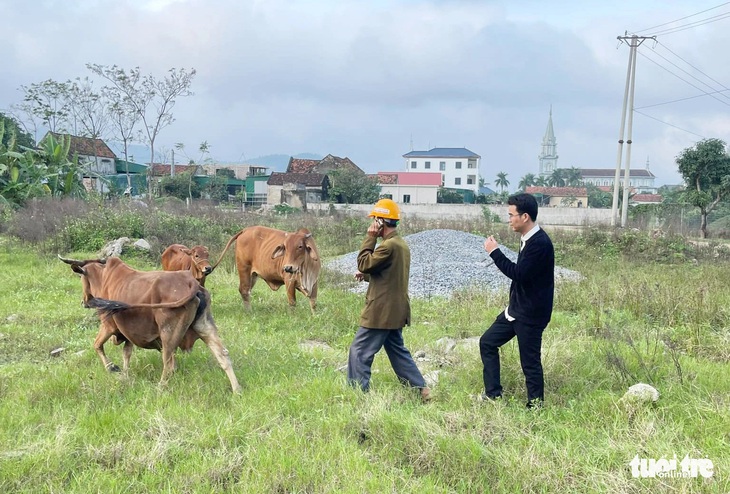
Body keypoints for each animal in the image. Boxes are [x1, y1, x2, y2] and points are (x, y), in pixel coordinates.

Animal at [59, 256, 240, 392]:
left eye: (82, 277)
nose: (83, 301)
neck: (105, 278)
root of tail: (193, 283)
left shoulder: (108, 325)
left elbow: (97, 345)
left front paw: (112, 367)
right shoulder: (128, 335)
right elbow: (126, 354)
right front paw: (125, 374)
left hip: (168, 333)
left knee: (169, 363)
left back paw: (160, 388)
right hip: (205, 327)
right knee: (223, 355)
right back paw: (237, 390)